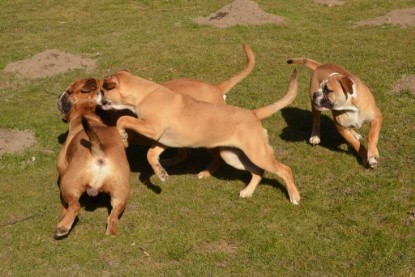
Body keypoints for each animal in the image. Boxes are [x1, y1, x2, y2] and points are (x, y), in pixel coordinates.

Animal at [55, 95, 130, 237]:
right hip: (120, 193)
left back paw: (62, 228)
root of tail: (98, 151)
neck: (87, 117)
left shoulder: (62, 169)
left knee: (75, 205)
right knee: (113, 217)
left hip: (68, 184)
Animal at [57, 44, 255, 174]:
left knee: (216, 157)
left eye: (69, 91)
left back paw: (207, 171)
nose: (59, 98)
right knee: (183, 153)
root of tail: (217, 88)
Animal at [96, 69, 300, 203]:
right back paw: (248, 192)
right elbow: (151, 155)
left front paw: (122, 134)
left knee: (285, 170)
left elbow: (122, 119)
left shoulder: (151, 128)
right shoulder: (162, 140)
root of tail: (253, 114)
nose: (97, 99)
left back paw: (294, 196)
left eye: (102, 90)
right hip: (232, 155)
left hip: (258, 154)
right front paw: (161, 174)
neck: (146, 93)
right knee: (257, 172)